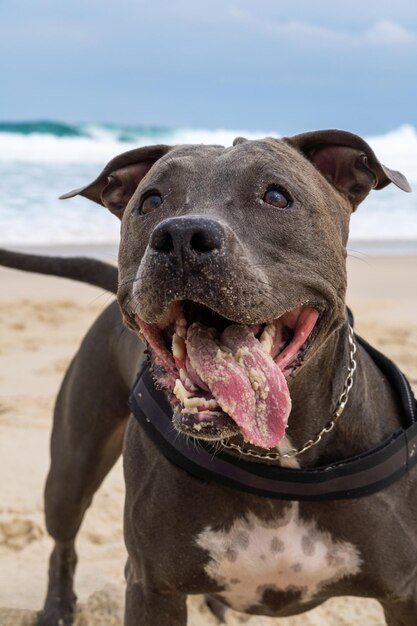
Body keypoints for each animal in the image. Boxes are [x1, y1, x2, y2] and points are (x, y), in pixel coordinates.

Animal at [1, 129, 414, 620]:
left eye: (276, 196)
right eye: (151, 200)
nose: (181, 235)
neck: (277, 456)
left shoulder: (404, 593)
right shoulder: (152, 586)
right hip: (72, 464)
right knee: (63, 538)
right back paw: (58, 606)